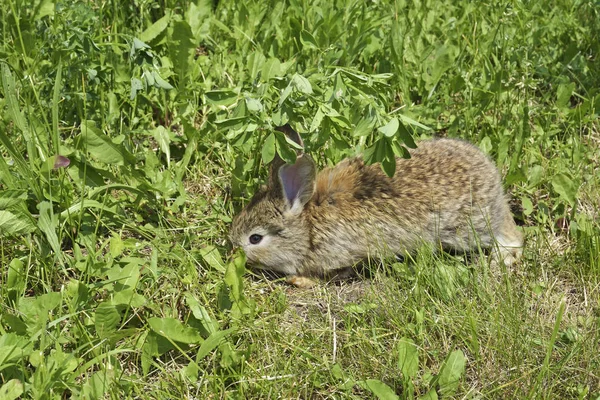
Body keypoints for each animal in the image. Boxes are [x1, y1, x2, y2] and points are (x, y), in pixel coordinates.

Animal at [230, 125, 520, 288]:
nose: (232, 251)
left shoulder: (342, 253)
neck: (307, 225)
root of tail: (491, 174)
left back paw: (503, 258)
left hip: (467, 229)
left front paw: (300, 280)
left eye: (255, 239)